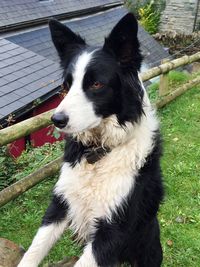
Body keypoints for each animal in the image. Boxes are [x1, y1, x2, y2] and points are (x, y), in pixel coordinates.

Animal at [18, 13, 163, 267]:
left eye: (96, 84)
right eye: (66, 85)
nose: (56, 120)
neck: (98, 152)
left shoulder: (113, 228)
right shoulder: (60, 204)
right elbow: (34, 250)